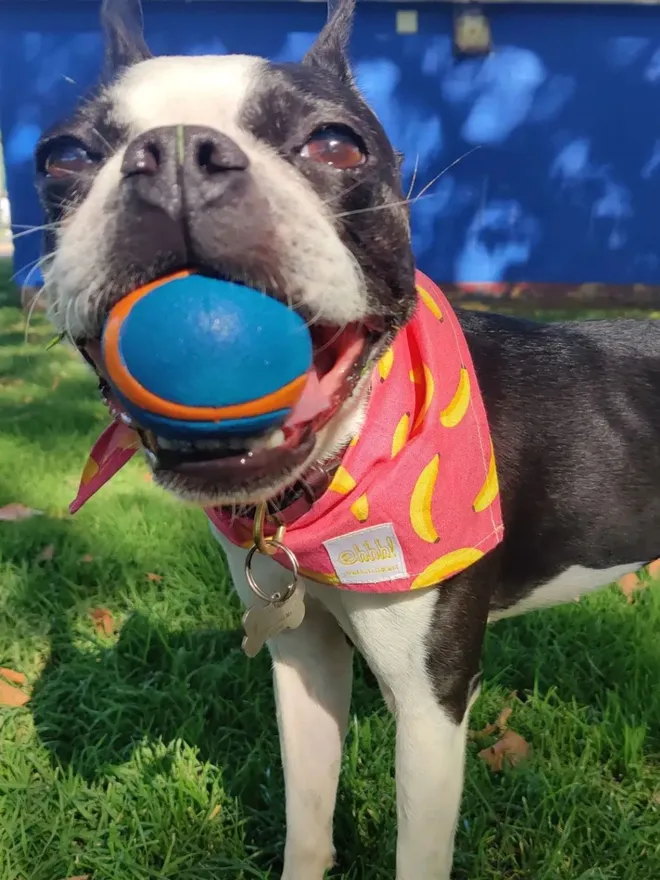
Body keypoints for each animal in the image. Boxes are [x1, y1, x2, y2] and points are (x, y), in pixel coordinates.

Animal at [37, 3, 660, 876]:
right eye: (62, 156)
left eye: (336, 144)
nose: (178, 154)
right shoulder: (305, 659)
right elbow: (308, 816)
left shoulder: (433, 704)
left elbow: (416, 851)